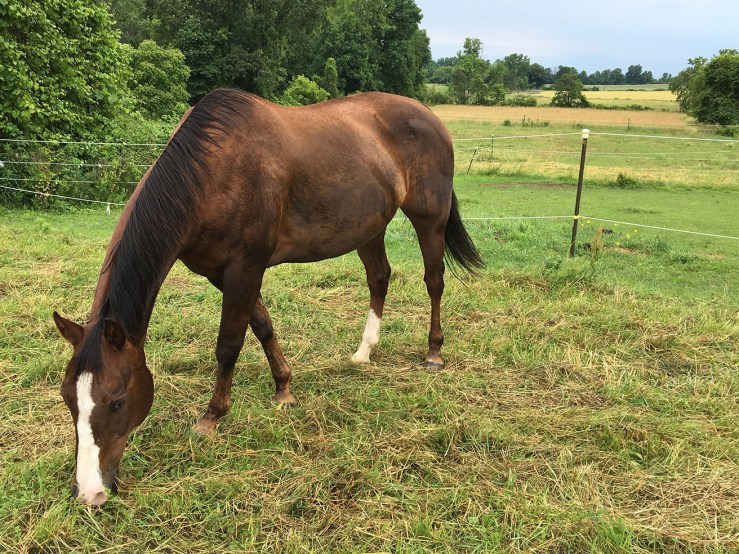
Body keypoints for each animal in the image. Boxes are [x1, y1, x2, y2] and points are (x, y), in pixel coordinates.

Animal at [53, 88, 483, 506]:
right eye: (68, 399)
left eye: (117, 401)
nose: (89, 492)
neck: (213, 172)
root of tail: (428, 115)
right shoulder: (221, 273)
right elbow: (262, 326)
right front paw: (284, 390)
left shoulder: (245, 266)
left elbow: (229, 343)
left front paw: (211, 418)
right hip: (370, 227)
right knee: (379, 279)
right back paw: (365, 351)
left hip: (430, 218)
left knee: (434, 281)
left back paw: (433, 352)